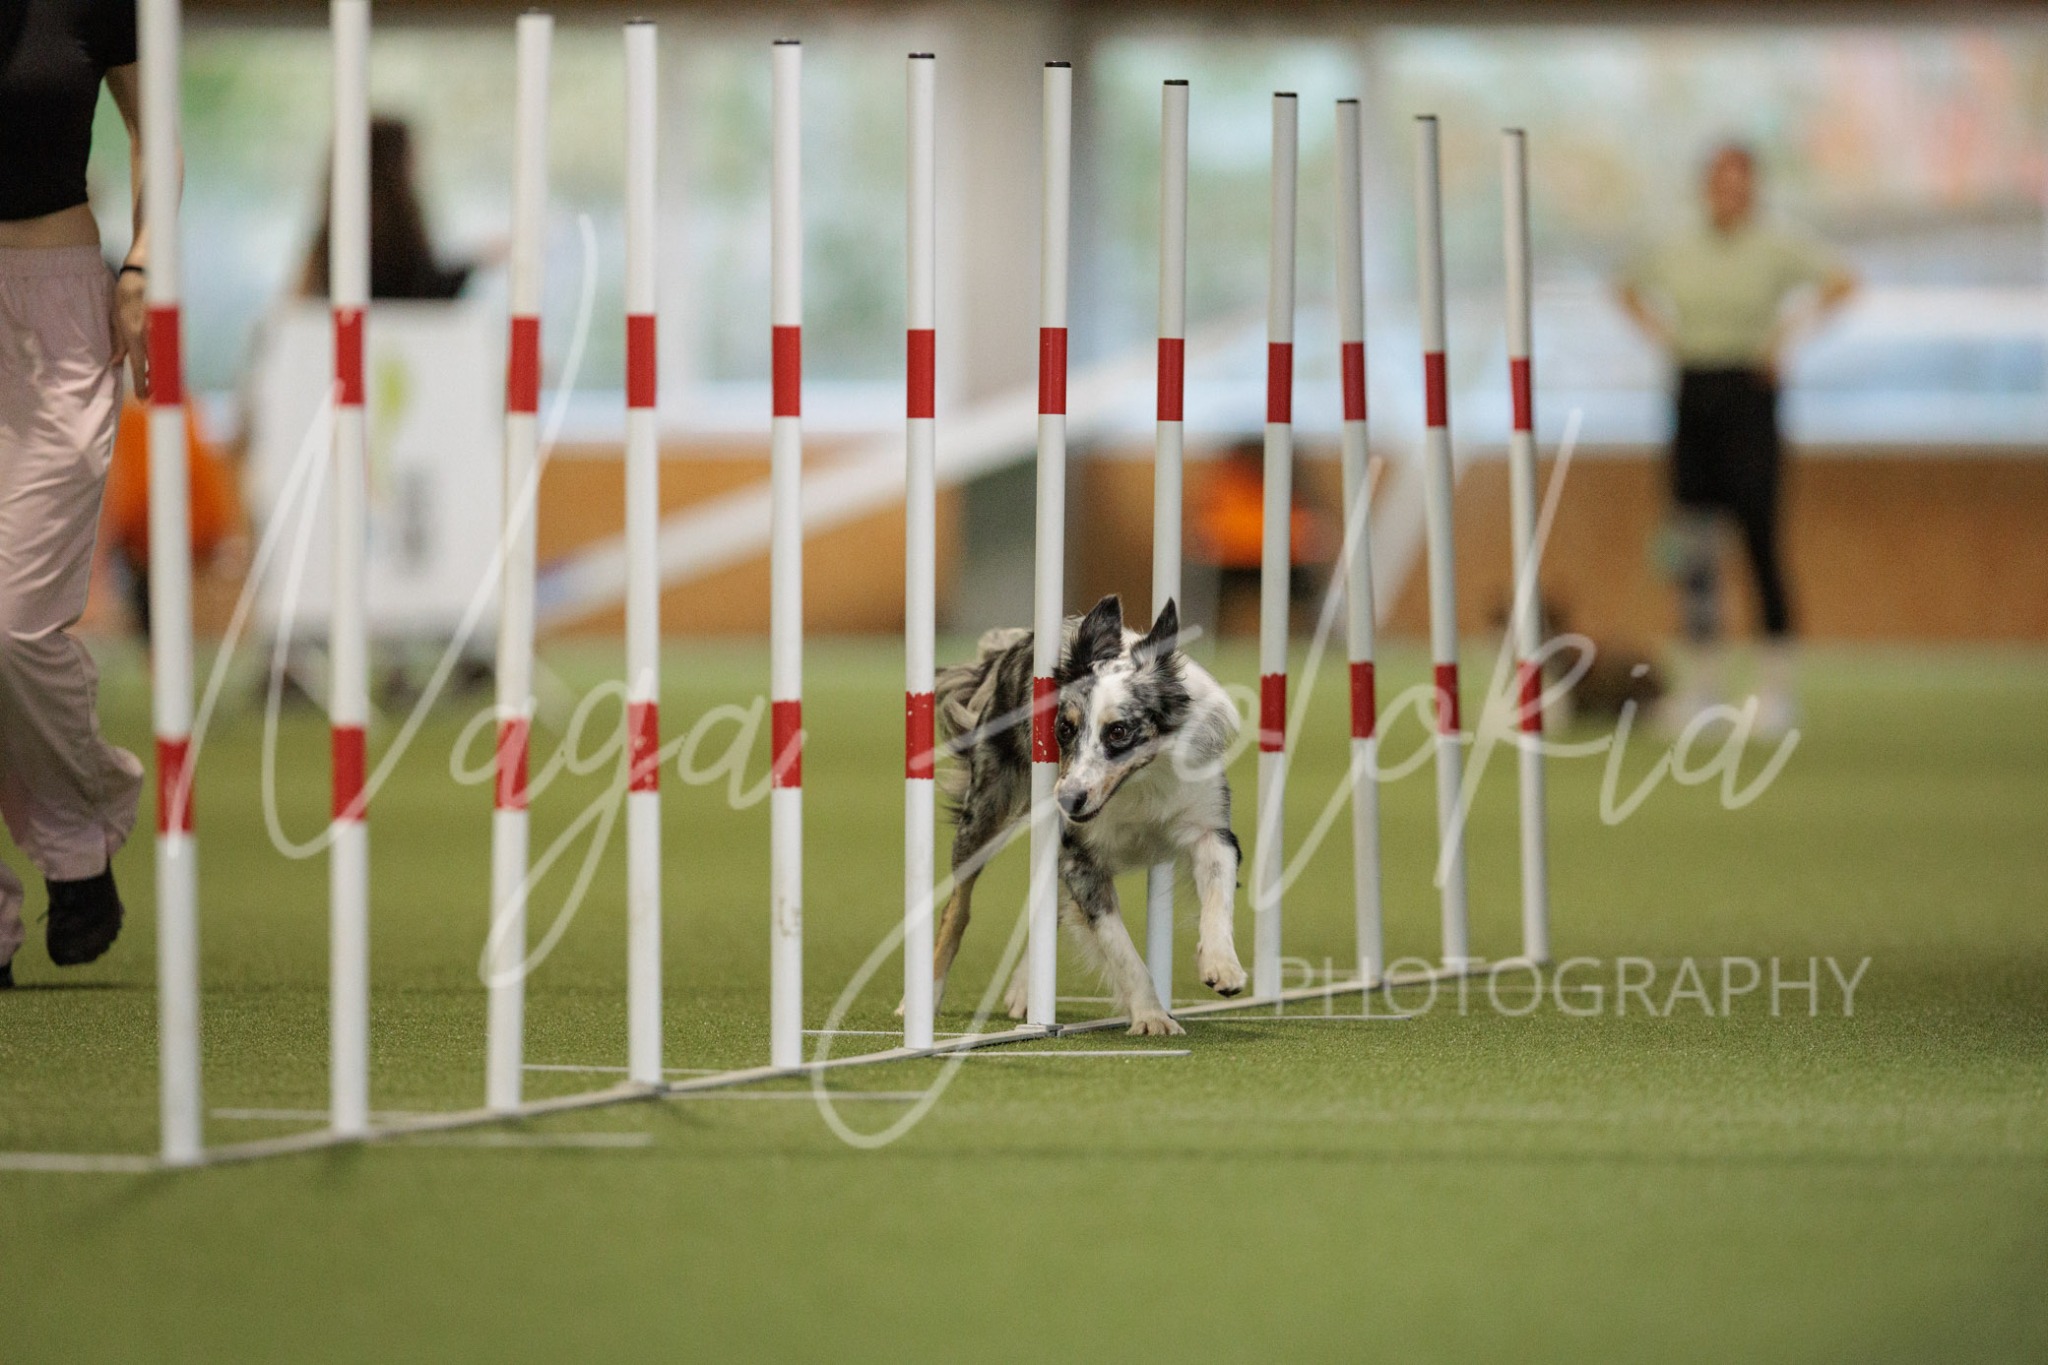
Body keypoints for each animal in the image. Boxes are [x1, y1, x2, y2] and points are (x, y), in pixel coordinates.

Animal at [919, 594, 1247, 1036]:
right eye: (1064, 729)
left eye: (1119, 731)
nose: (1069, 800)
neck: (1137, 783)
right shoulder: (1080, 857)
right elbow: (1118, 944)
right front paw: (1151, 1015)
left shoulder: (1210, 827)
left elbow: (1218, 896)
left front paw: (1221, 966)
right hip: (985, 812)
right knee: (958, 908)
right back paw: (923, 1000)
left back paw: (1024, 990)